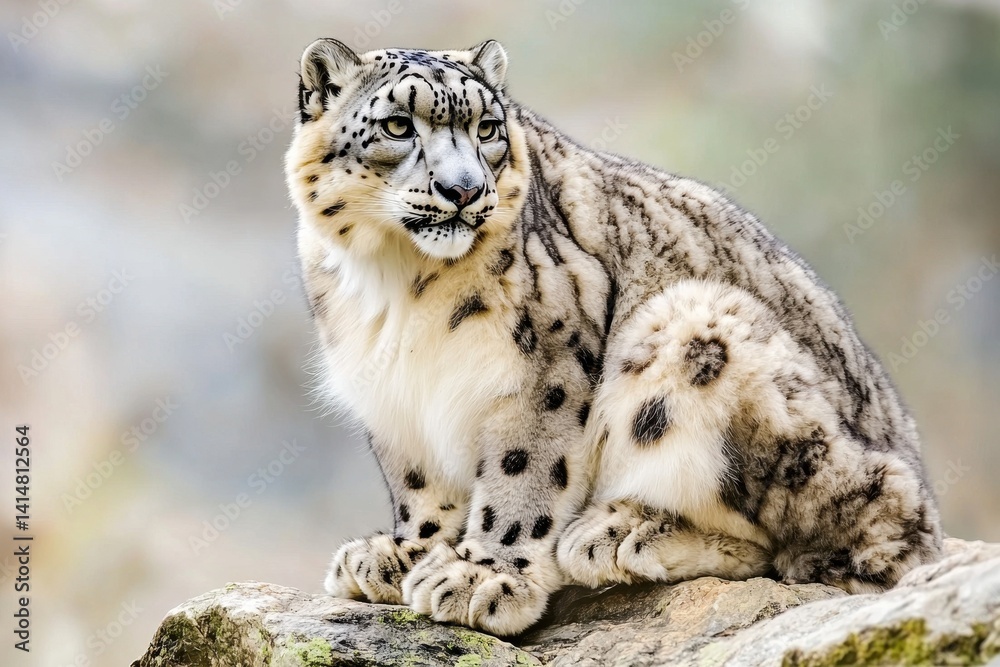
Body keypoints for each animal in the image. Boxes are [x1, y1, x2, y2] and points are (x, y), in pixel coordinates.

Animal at [284, 38, 943, 636]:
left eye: (488, 128)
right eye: (398, 125)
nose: (465, 190)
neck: (394, 281)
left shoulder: (545, 363)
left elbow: (522, 473)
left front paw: (484, 576)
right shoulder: (393, 391)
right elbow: (420, 485)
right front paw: (405, 554)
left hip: (697, 328)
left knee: (810, 550)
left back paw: (620, 533)